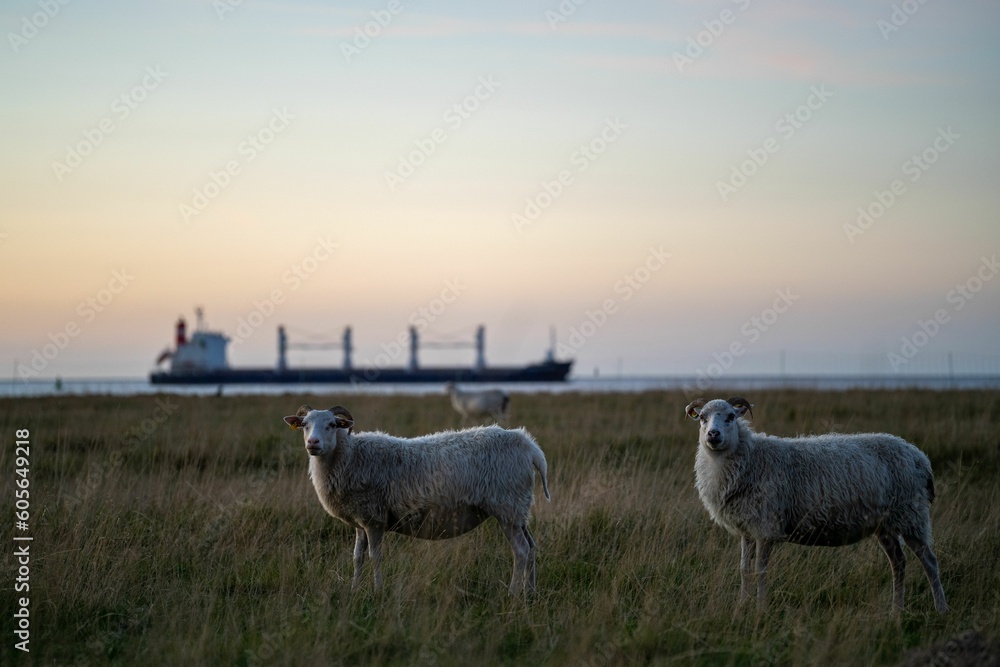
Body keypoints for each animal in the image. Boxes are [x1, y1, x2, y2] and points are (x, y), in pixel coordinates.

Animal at [284, 404, 556, 596]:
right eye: (305, 425)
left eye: (332, 424)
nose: (313, 443)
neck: (350, 457)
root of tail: (531, 448)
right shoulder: (361, 522)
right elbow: (357, 557)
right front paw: (354, 589)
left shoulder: (374, 519)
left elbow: (375, 556)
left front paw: (377, 591)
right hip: (519, 509)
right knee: (531, 547)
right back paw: (530, 593)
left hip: (507, 507)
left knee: (520, 550)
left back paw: (513, 594)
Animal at [684, 396, 948, 616]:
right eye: (702, 418)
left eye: (731, 416)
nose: (713, 434)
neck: (752, 458)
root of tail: (919, 457)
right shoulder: (747, 529)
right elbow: (744, 569)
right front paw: (742, 605)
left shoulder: (766, 527)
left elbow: (760, 569)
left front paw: (760, 608)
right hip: (886, 524)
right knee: (899, 562)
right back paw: (896, 610)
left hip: (911, 514)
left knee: (929, 561)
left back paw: (940, 609)